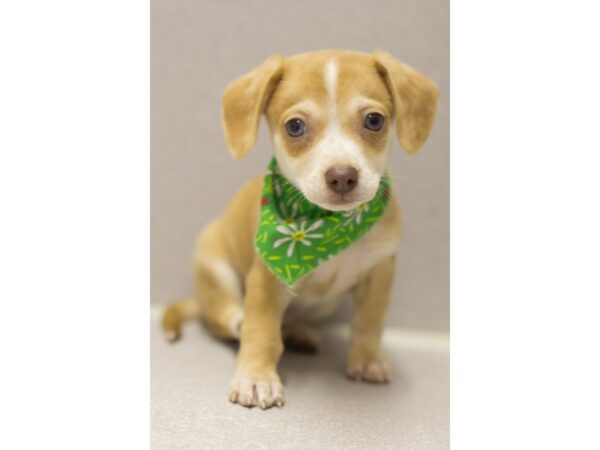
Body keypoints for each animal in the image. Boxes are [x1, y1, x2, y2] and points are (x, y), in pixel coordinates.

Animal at [162, 49, 438, 408]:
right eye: (295, 126)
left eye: (374, 121)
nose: (342, 176)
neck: (324, 228)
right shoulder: (267, 279)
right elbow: (261, 331)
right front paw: (256, 377)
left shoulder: (378, 273)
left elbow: (369, 322)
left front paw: (367, 360)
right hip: (216, 270)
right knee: (223, 318)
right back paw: (241, 320)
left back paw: (297, 333)